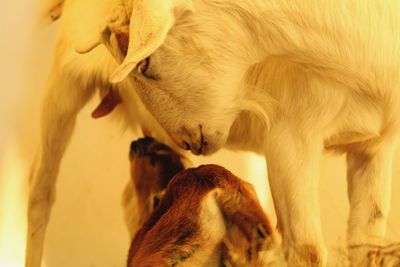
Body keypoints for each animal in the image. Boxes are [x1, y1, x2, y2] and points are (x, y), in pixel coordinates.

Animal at [27, 0, 400, 266]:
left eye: (145, 64)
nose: (187, 141)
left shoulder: (376, 148)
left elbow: (366, 247)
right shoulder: (290, 139)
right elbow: (307, 250)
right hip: (62, 87)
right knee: (40, 193)